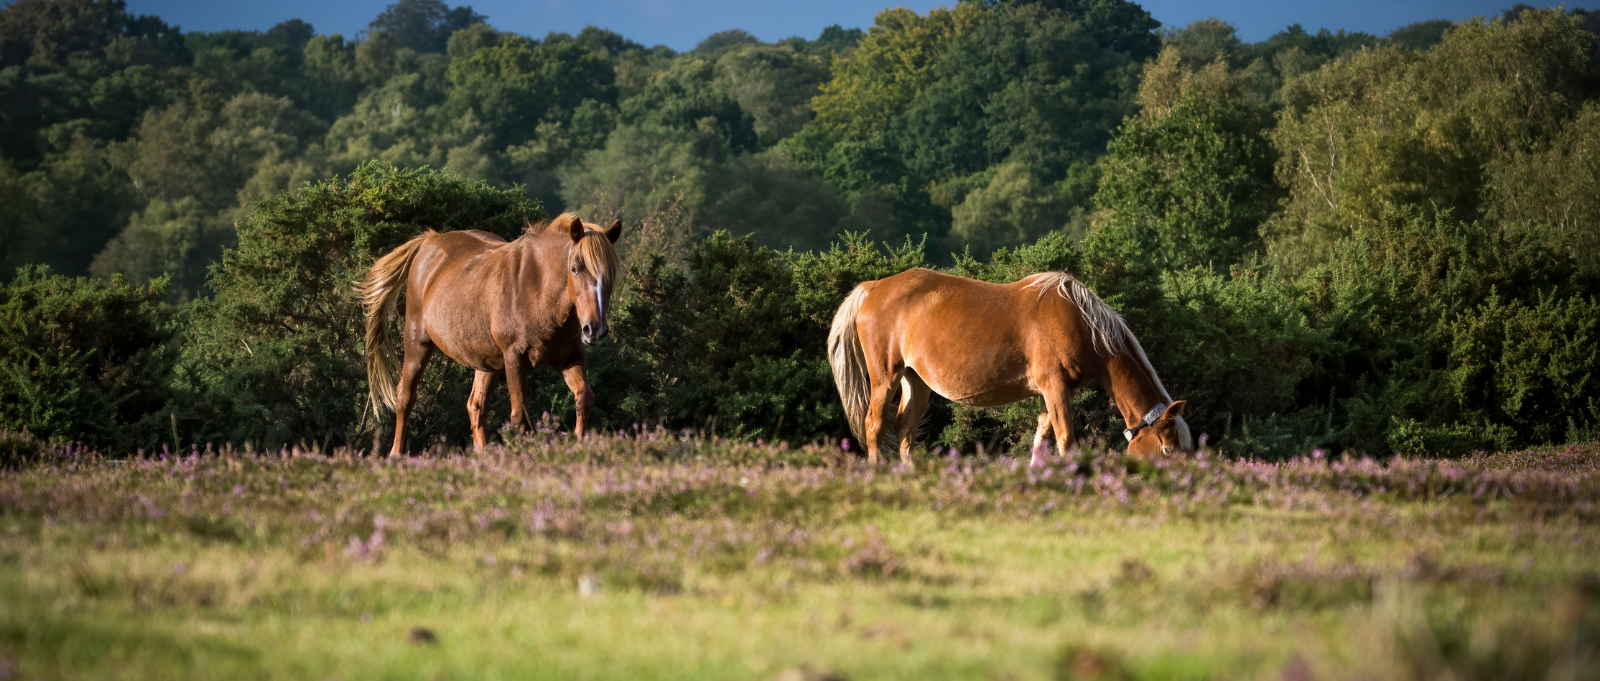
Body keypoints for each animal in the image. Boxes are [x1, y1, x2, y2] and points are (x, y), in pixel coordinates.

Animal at [360, 215, 620, 454]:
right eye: (575, 269)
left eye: (611, 274)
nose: (595, 329)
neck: (537, 287)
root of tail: (429, 242)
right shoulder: (515, 359)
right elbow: (519, 417)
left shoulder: (570, 358)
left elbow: (584, 398)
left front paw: (579, 447)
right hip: (417, 345)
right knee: (405, 397)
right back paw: (396, 455)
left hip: (486, 363)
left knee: (476, 406)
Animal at [838, 268, 1190, 466]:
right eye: (1166, 450)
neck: (1083, 323)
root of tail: (873, 287)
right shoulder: (1055, 388)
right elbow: (1066, 440)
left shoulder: (1050, 394)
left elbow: (1041, 440)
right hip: (885, 377)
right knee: (874, 425)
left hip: (916, 382)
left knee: (905, 430)